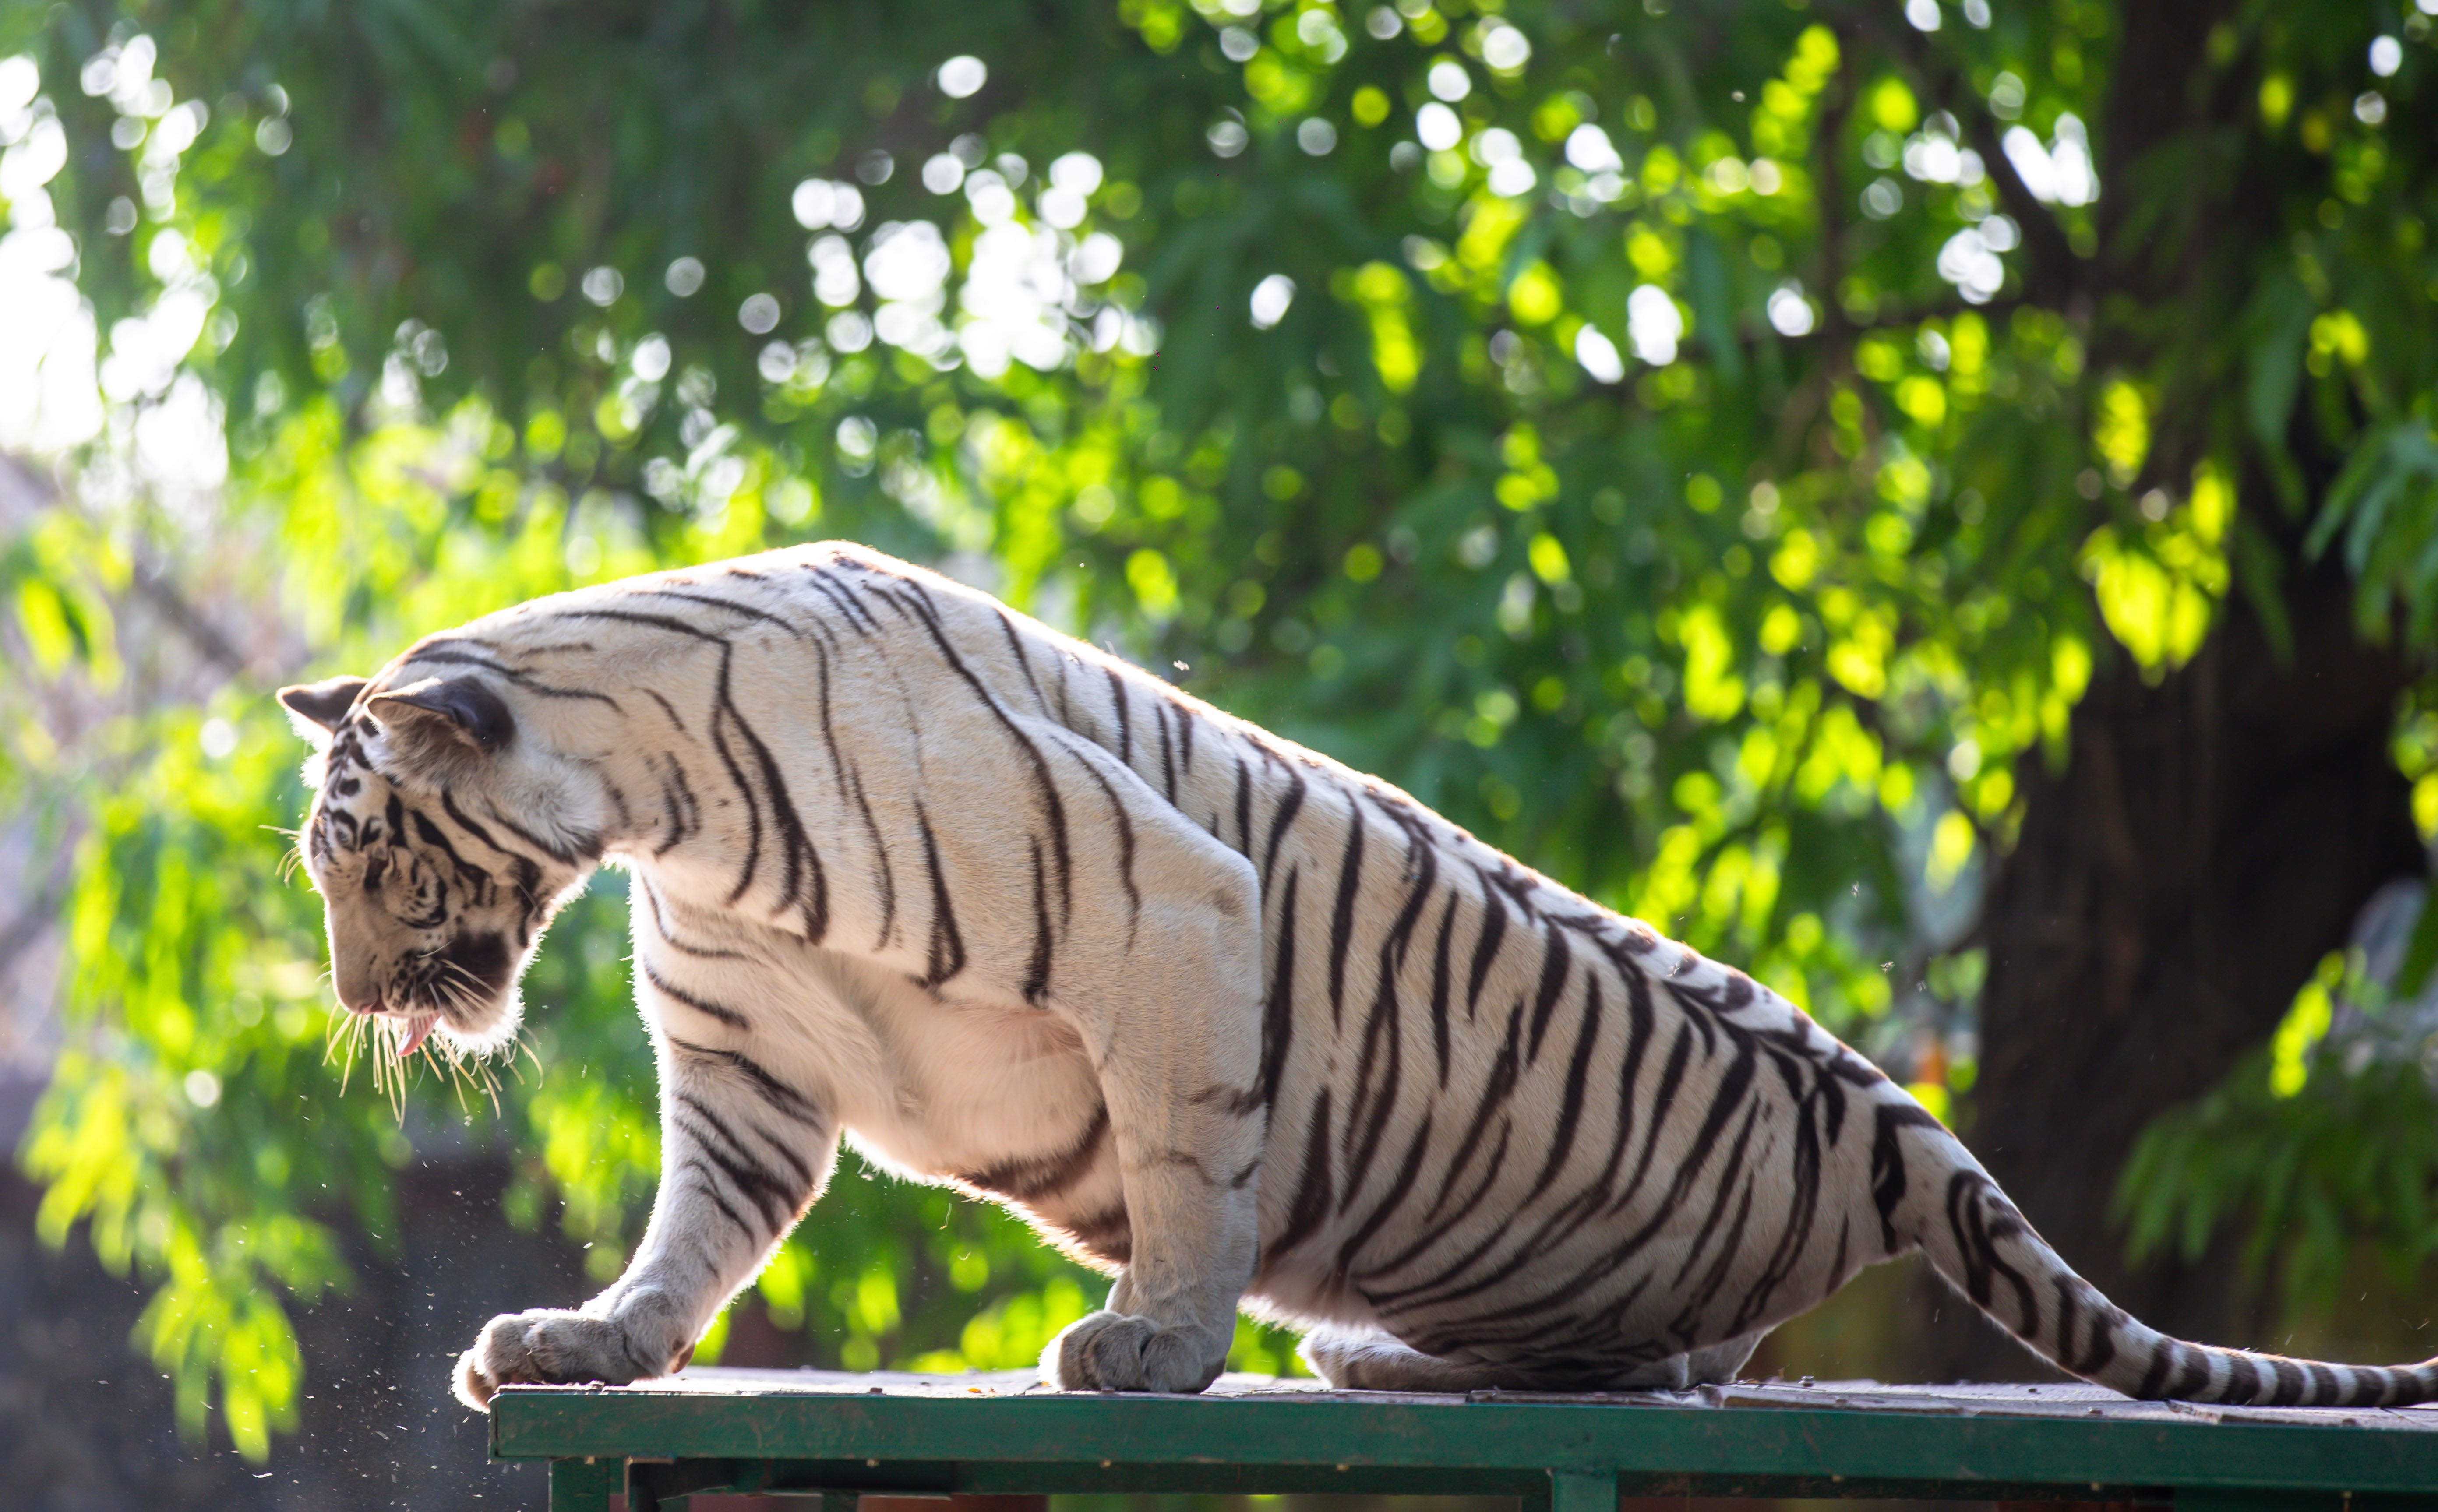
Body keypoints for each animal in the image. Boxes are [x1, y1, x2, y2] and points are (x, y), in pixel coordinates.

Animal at [274, 541, 2438, 1409]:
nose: (368, 1001)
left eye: (369, 853)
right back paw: (1375, 1358)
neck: (662, 813)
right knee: (1664, 1359)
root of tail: (1904, 1118)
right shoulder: (748, 1058)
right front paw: (582, 1340)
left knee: (1674, 1365)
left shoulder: (1169, 902)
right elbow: (691, 1239)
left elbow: (1186, 1161)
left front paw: (1152, 1346)